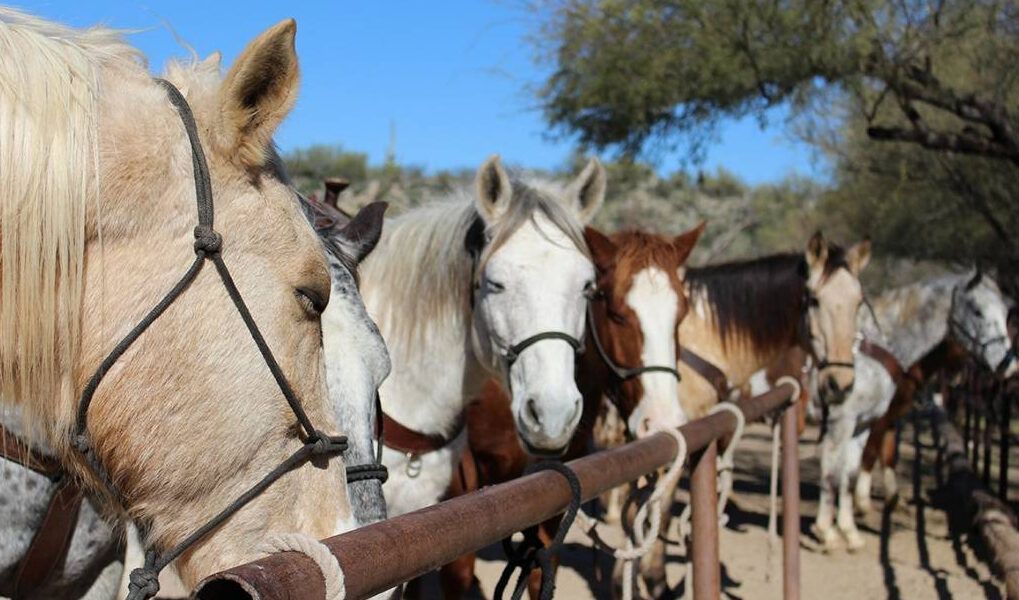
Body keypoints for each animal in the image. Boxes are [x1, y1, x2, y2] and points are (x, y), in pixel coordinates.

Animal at [812, 270, 1017, 550]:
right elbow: (834, 471)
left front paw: (851, 530)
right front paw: (828, 529)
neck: (872, 352)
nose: (1008, 365)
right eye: (977, 311)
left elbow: (854, 471)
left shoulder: (867, 422)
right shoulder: (843, 421)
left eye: (1005, 313)